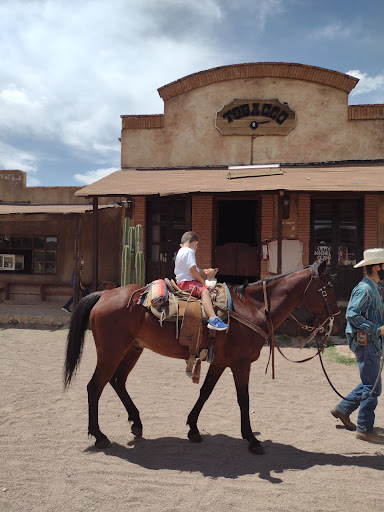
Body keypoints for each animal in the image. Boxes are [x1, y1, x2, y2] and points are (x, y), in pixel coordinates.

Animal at [63, 262, 340, 454]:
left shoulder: (220, 362)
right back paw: (100, 436)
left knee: (118, 381)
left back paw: (136, 423)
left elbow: (205, 392)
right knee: (95, 386)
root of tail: (103, 295)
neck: (252, 309)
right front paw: (252, 439)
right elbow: (243, 400)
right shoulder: (240, 364)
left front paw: (193, 428)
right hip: (111, 351)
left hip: (133, 349)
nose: (335, 319)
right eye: (327, 287)